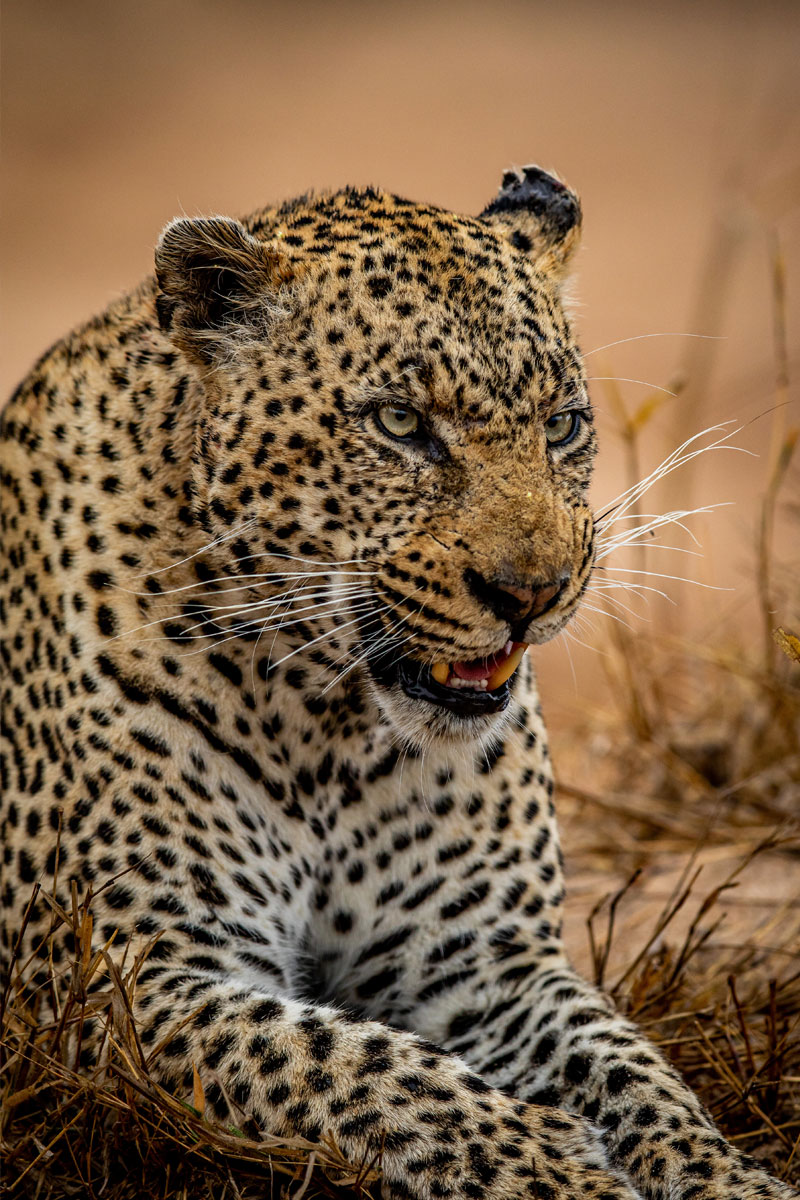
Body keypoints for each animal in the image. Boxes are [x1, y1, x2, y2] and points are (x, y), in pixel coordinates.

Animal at [1, 164, 795, 1200]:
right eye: (400, 424)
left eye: (563, 425)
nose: (532, 592)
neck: (322, 726)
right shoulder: (117, 975)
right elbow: (361, 1065)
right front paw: (563, 1170)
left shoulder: (477, 964)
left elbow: (633, 1067)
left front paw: (730, 1177)